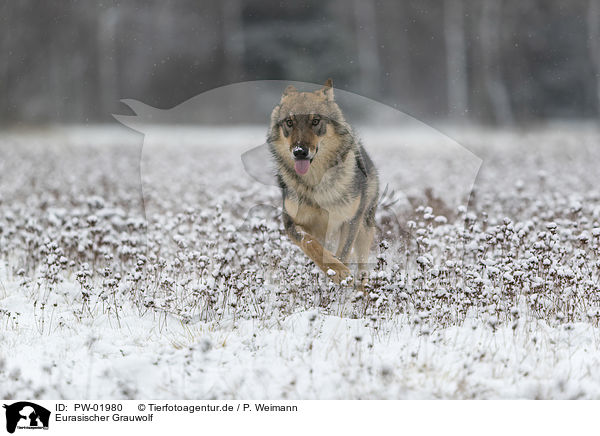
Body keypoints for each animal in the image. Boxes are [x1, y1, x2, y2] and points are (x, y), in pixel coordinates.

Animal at [268, 80, 380, 288]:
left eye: (315, 121)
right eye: (289, 122)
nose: (300, 152)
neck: (315, 182)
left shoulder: (350, 220)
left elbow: (343, 254)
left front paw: (340, 275)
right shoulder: (292, 222)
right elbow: (311, 244)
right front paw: (336, 272)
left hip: (364, 229)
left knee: (363, 270)